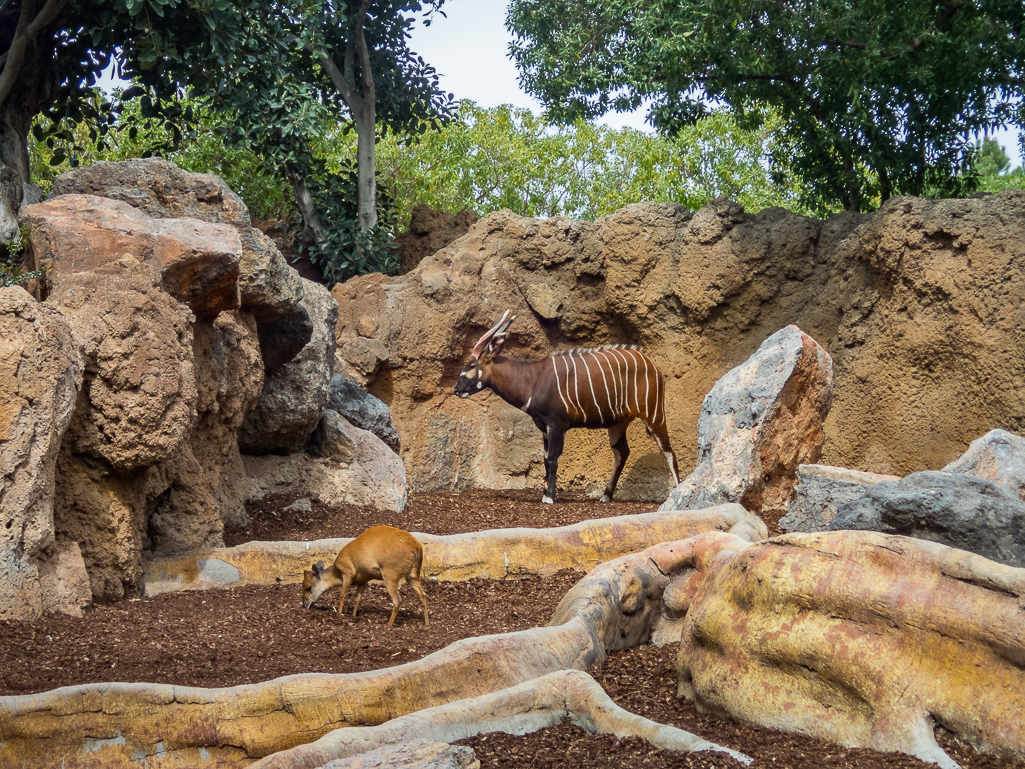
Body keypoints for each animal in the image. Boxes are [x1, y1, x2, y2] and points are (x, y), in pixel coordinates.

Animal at [453, 313, 676, 506]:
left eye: (471, 365)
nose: (456, 389)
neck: (532, 380)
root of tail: (653, 365)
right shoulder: (544, 427)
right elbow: (545, 459)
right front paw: (545, 493)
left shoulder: (557, 424)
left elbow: (552, 459)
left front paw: (549, 498)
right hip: (617, 424)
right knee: (622, 453)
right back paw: (605, 496)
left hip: (654, 414)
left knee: (668, 451)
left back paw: (675, 491)